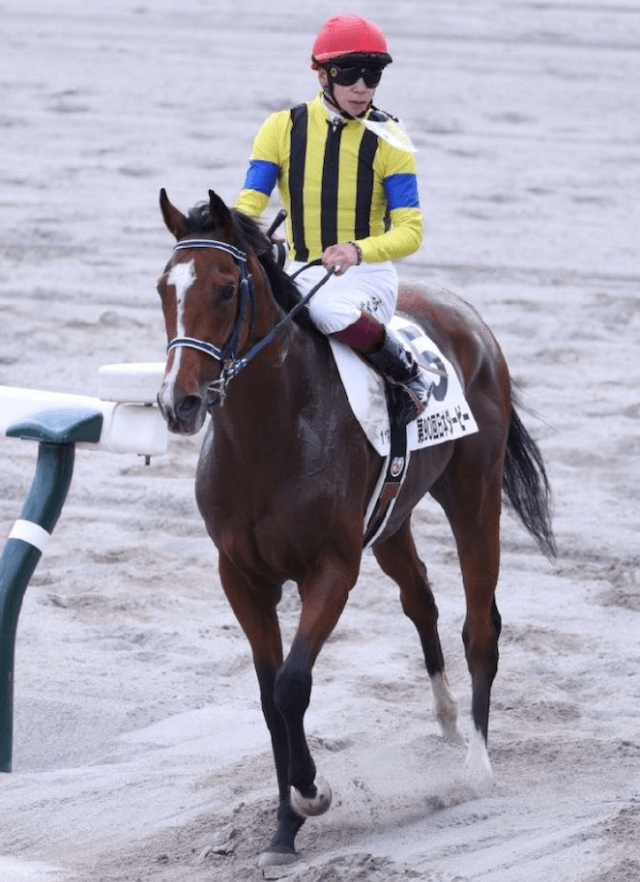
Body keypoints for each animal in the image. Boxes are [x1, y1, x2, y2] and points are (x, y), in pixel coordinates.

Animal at [156, 188, 556, 866]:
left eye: (226, 289)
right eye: (164, 287)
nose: (178, 404)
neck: (268, 438)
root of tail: (465, 314)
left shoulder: (332, 568)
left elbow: (292, 685)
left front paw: (311, 795)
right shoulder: (240, 576)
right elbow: (269, 698)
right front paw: (283, 829)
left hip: (474, 498)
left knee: (480, 626)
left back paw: (476, 768)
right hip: (392, 520)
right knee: (421, 598)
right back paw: (446, 718)